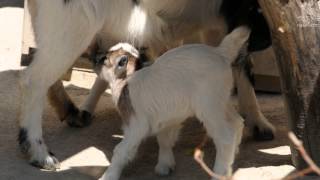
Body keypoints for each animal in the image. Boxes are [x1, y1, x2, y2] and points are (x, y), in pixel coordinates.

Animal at [99, 26, 249, 180]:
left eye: (106, 58)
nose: (97, 57)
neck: (128, 79)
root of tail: (220, 52)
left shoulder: (136, 125)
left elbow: (121, 150)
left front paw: (109, 175)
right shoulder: (167, 119)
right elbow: (164, 140)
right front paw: (165, 165)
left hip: (209, 108)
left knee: (225, 137)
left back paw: (220, 173)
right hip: (221, 101)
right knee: (237, 121)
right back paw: (232, 158)